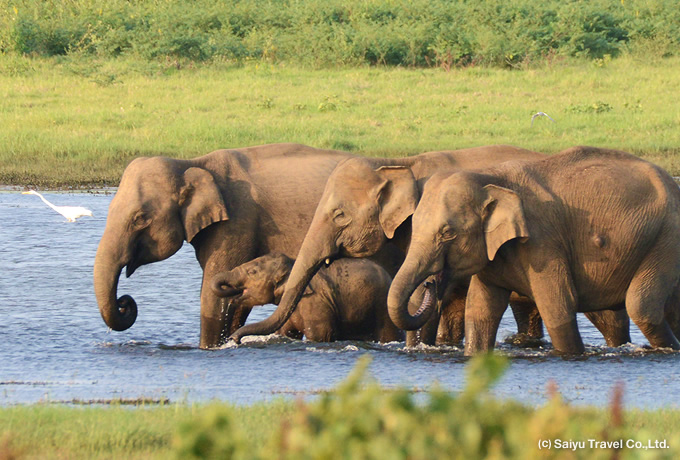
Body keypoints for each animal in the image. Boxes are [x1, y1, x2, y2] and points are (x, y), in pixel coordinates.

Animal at [95, 142, 356, 346]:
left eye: (140, 218)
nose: (124, 303)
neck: (193, 163)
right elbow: (236, 297)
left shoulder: (237, 222)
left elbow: (214, 297)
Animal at [212, 253, 402, 344]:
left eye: (252, 272)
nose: (234, 340)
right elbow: (286, 333)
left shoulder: (316, 303)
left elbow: (320, 335)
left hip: (383, 309)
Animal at [386, 146, 680, 354]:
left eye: (447, 233)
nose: (430, 284)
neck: (490, 177)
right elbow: (480, 311)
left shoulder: (543, 243)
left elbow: (558, 307)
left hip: (667, 237)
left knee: (642, 306)